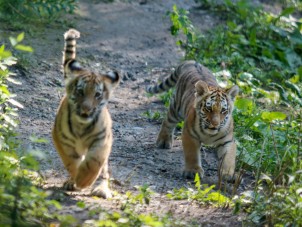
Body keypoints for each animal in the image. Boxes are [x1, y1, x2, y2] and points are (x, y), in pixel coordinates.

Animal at [52, 28, 119, 199]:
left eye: (97, 95)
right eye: (80, 91)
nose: (86, 109)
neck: (81, 125)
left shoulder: (102, 140)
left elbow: (95, 161)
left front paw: (84, 180)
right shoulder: (61, 139)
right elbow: (71, 160)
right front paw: (78, 179)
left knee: (104, 172)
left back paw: (101, 189)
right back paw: (71, 182)